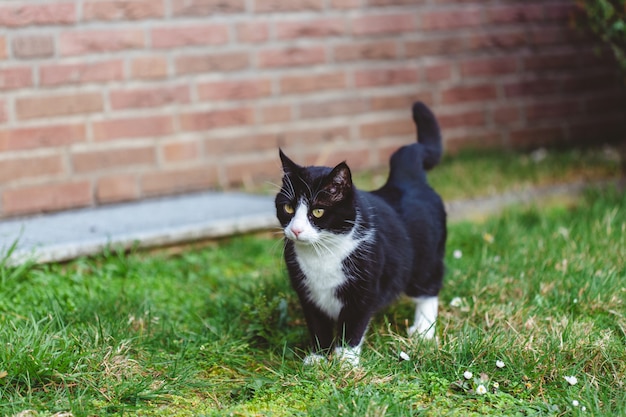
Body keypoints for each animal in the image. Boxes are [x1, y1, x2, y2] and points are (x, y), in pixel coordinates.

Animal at [272, 101, 444, 364]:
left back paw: (423, 330)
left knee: (429, 286)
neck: (323, 253)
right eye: (288, 208)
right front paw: (318, 358)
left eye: (318, 211)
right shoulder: (306, 292)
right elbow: (317, 324)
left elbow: (352, 323)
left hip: (427, 256)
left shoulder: (365, 288)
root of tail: (406, 180)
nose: (296, 230)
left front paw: (346, 360)